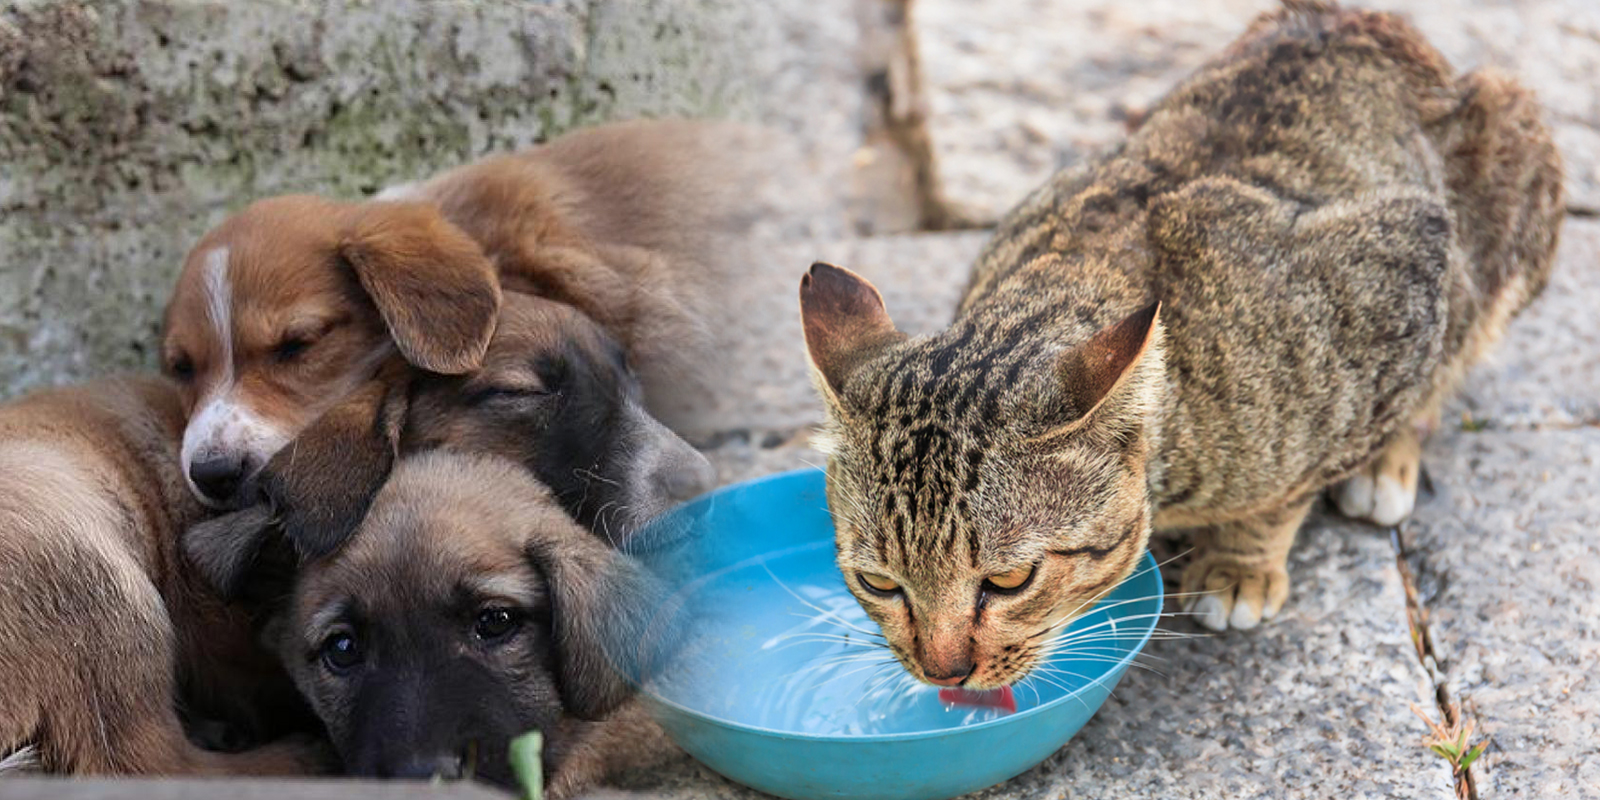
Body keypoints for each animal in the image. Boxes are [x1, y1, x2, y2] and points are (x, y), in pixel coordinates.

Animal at [800, 0, 1561, 688]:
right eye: (878, 582)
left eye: (1011, 580)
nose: (943, 673)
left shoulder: (1403, 274)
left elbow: (1285, 492)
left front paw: (1243, 562)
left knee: (1452, 357)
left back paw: (1385, 462)